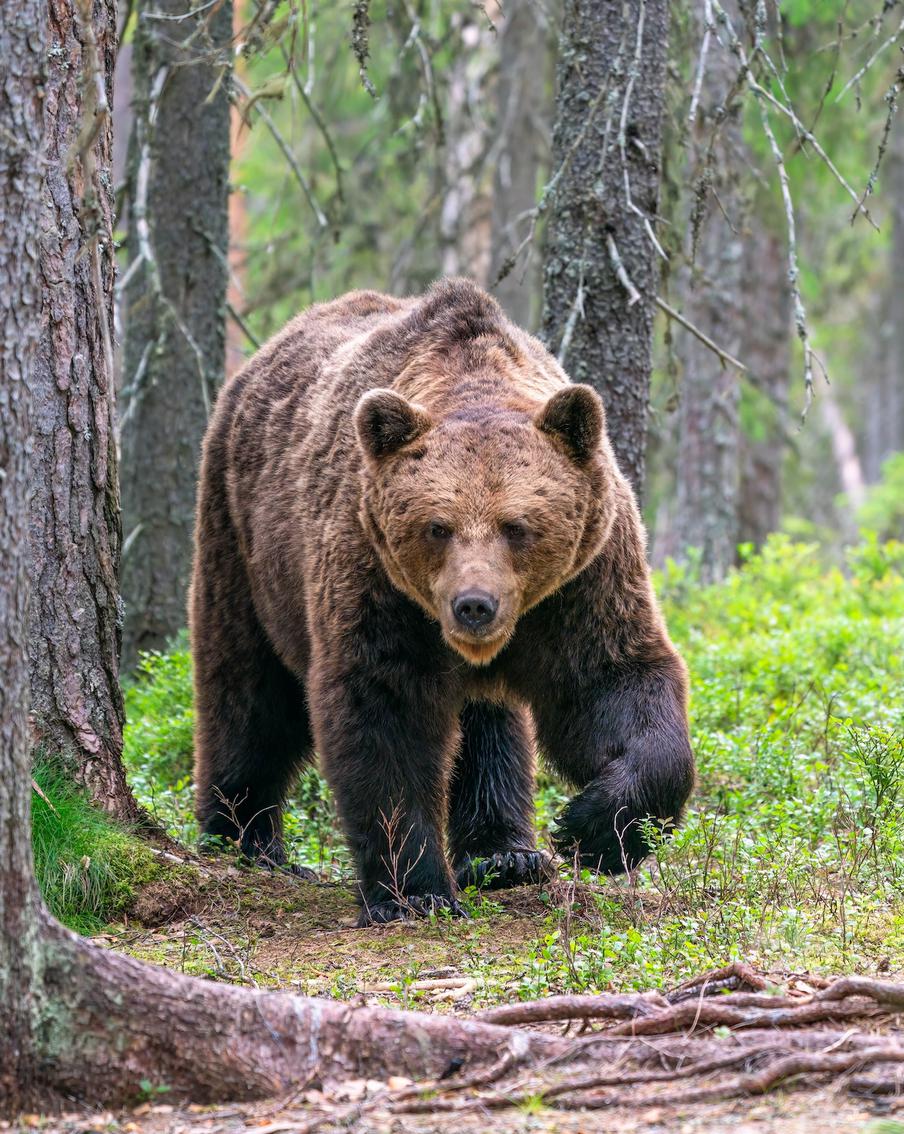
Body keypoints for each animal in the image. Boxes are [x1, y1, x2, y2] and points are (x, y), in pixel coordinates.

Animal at [190, 277, 694, 924]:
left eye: (517, 525)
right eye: (437, 526)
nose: (473, 605)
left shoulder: (581, 583)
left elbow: (613, 684)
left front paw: (589, 830)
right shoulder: (376, 580)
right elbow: (386, 711)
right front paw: (415, 891)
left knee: (489, 724)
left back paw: (506, 854)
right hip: (244, 542)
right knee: (249, 691)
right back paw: (243, 838)